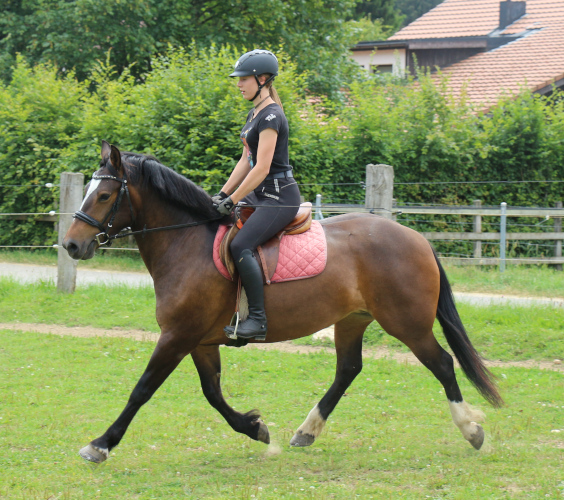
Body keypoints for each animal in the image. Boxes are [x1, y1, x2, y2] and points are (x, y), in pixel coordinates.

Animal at [62, 140, 502, 460]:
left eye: (104, 195)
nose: (71, 245)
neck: (186, 243)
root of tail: (416, 238)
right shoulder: (199, 340)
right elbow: (212, 393)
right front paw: (255, 428)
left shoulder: (177, 336)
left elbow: (142, 389)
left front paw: (100, 444)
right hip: (352, 320)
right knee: (348, 369)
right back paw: (306, 431)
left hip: (407, 323)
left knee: (442, 364)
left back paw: (472, 430)